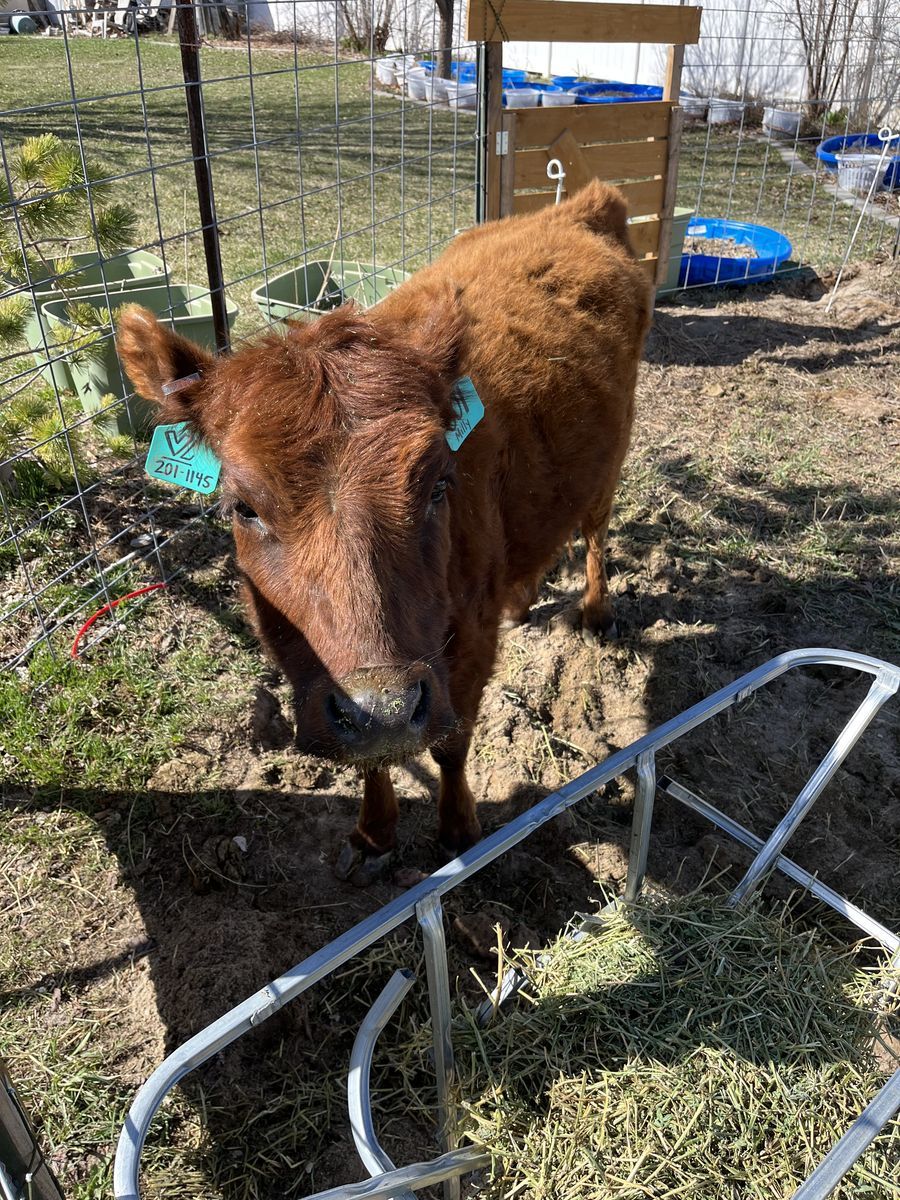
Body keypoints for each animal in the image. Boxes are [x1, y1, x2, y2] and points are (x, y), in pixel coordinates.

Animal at [117, 180, 652, 884]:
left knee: (594, 533)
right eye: (243, 506)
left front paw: (458, 830)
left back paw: (594, 612)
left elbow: (451, 742)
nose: (384, 708)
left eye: (440, 484)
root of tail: (583, 205)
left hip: (610, 461)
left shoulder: (465, 647)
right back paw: (524, 599)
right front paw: (374, 833)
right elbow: (370, 759)